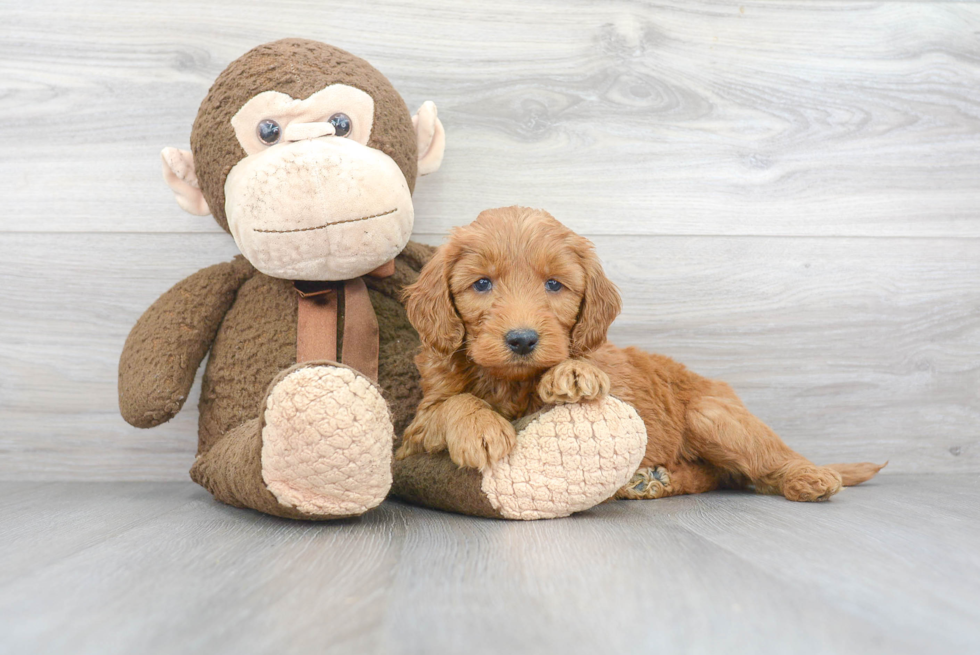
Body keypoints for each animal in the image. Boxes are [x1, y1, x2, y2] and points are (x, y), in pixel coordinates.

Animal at [394, 206, 884, 502]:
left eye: (554, 284)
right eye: (481, 284)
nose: (522, 340)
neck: (509, 381)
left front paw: (573, 371)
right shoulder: (417, 426)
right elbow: (453, 404)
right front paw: (481, 428)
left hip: (713, 415)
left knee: (761, 462)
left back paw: (809, 476)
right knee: (713, 475)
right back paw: (651, 480)